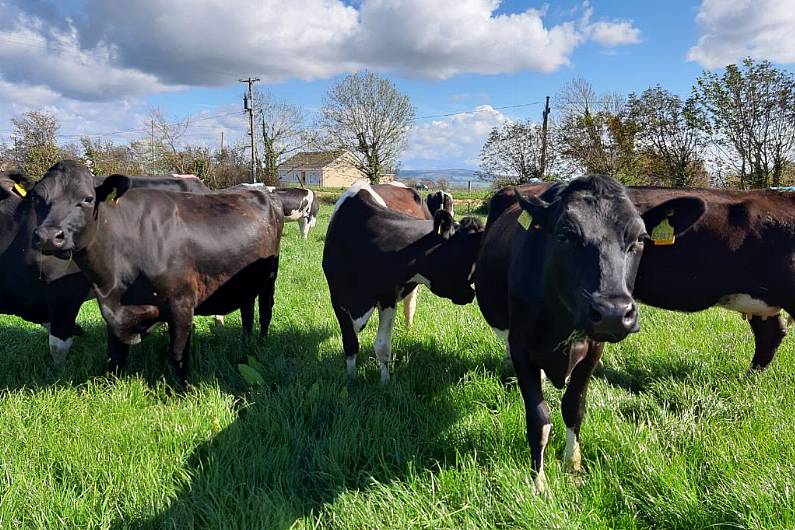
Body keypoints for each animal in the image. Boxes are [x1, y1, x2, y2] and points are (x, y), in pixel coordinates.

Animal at [29, 159, 284, 382]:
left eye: (87, 198)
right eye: (36, 197)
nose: (49, 236)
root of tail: (258, 189)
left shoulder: (182, 304)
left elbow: (178, 355)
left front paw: (182, 392)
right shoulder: (112, 309)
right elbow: (115, 357)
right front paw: (113, 388)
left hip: (270, 277)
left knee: (265, 311)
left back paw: (261, 345)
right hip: (246, 280)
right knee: (247, 310)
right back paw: (246, 343)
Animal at [324, 179, 486, 382]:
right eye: (461, 257)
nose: (471, 294)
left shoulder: (388, 297)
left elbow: (382, 346)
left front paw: (385, 382)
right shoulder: (337, 300)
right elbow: (350, 344)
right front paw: (351, 378)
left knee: (410, 305)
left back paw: (408, 330)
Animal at [472, 175, 704, 492]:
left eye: (640, 239)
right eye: (564, 235)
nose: (613, 312)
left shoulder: (594, 349)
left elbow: (574, 407)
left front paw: (573, 467)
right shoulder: (521, 347)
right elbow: (539, 417)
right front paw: (539, 482)